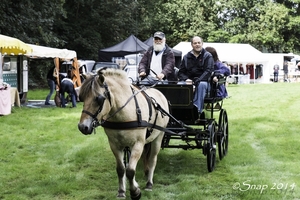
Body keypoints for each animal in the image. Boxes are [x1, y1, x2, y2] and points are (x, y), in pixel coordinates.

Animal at [77, 68, 170, 199]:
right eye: (81, 97)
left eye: (99, 98)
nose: (82, 127)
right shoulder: (115, 145)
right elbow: (121, 169)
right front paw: (122, 191)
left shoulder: (138, 144)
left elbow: (130, 170)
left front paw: (135, 192)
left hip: (158, 137)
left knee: (152, 159)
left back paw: (149, 183)